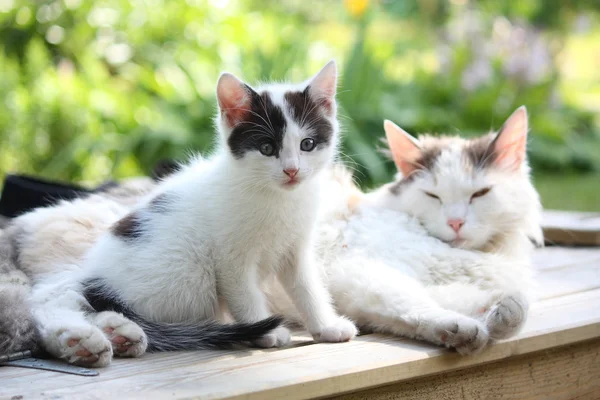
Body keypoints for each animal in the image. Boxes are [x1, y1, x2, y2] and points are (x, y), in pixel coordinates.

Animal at [27, 61, 356, 368]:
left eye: (307, 144)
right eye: (266, 147)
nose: (292, 170)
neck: (279, 199)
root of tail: (96, 277)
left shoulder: (295, 247)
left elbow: (307, 287)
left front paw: (326, 326)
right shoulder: (230, 258)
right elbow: (246, 295)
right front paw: (268, 332)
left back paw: (115, 332)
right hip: (187, 276)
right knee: (65, 300)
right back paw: (83, 338)